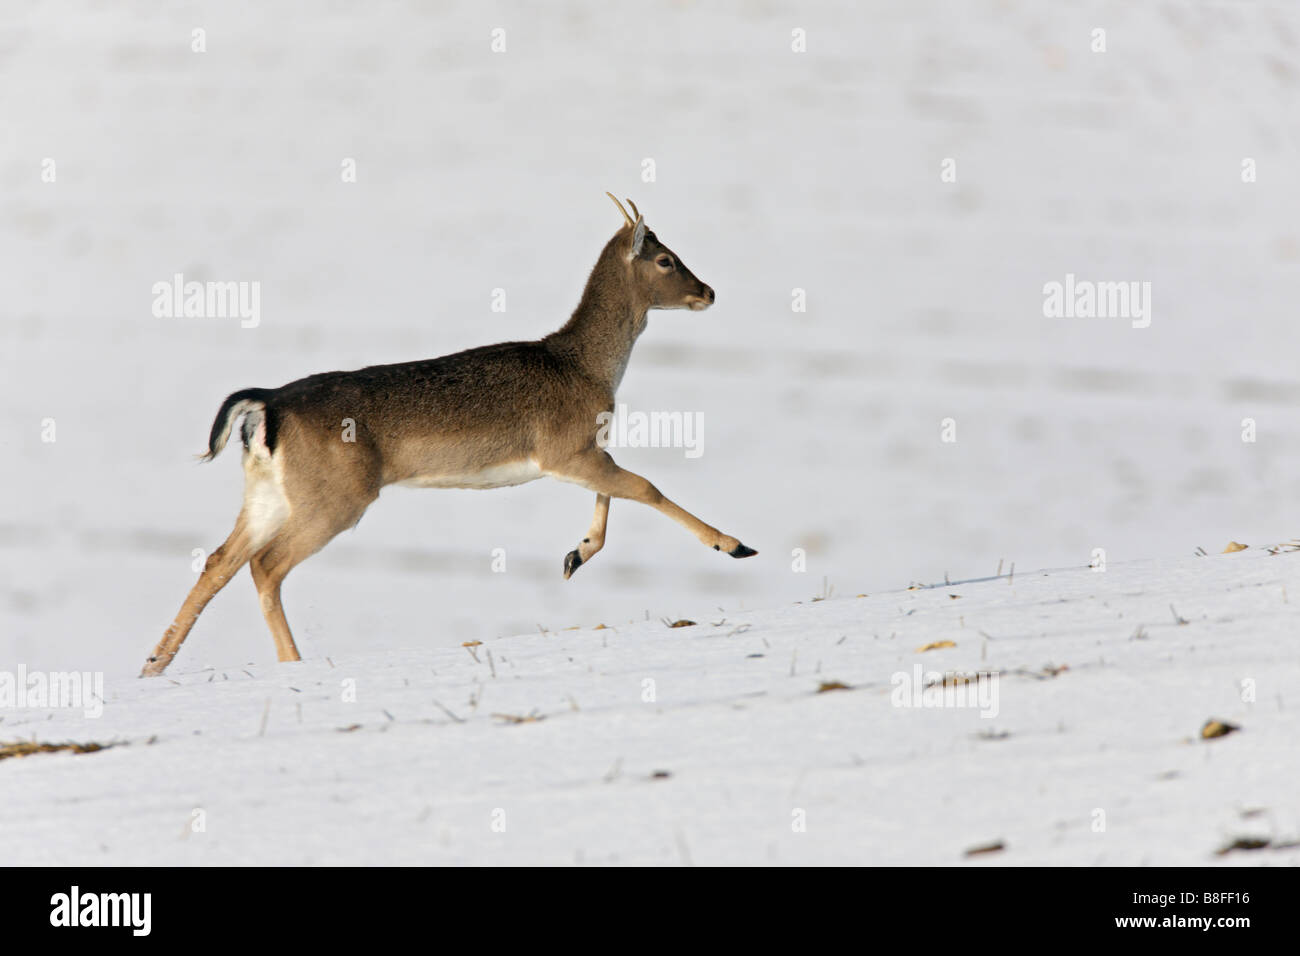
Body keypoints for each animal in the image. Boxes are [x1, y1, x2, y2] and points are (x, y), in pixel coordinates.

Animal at [141, 192, 759, 681]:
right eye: (665, 258)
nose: (708, 291)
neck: (587, 368)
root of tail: (265, 405)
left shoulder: (579, 451)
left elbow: (614, 495)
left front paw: (574, 556)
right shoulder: (562, 448)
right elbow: (646, 486)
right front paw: (734, 545)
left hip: (269, 492)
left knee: (219, 560)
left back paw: (153, 664)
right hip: (336, 495)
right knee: (265, 565)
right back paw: (292, 663)